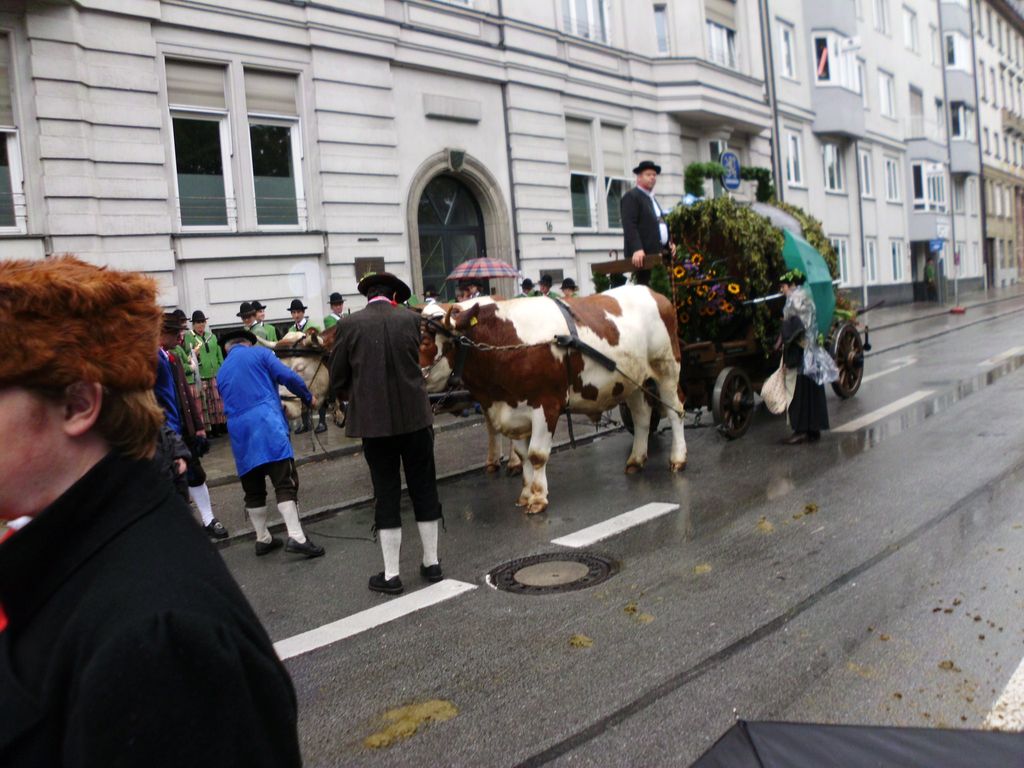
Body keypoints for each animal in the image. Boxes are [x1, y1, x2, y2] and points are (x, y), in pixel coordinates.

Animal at [419, 285, 687, 514]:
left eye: (426, 341)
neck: (506, 344)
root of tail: (653, 293)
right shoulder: (514, 410)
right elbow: (524, 455)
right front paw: (525, 494)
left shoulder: (546, 404)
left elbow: (537, 455)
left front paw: (538, 499)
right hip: (633, 382)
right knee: (642, 417)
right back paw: (636, 460)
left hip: (667, 369)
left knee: (676, 411)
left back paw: (678, 458)